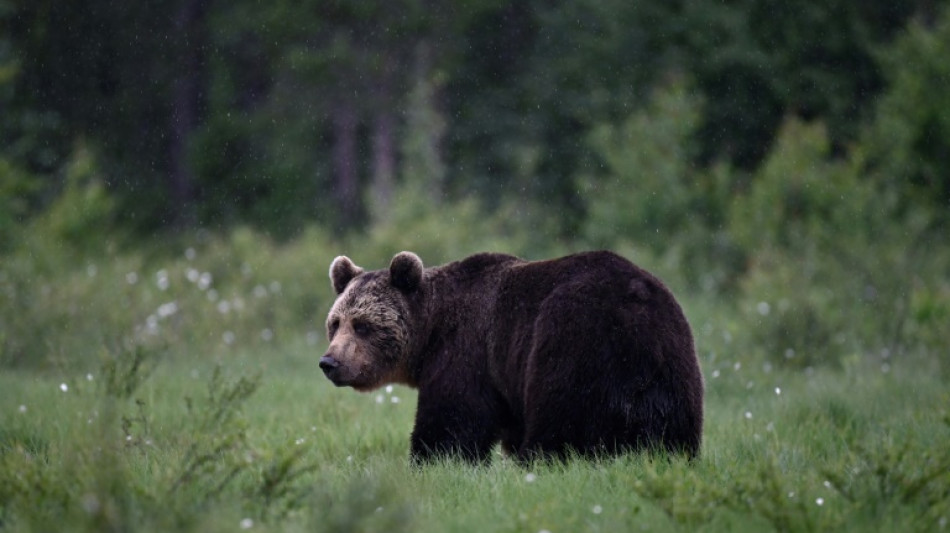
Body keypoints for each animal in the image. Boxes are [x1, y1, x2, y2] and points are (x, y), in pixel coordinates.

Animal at [324, 249, 704, 462]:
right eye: (335, 322)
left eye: (363, 325)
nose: (330, 362)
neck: (431, 331)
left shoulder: (468, 352)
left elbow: (451, 420)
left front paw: (431, 460)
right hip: (671, 360)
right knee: (674, 429)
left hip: (573, 339)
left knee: (561, 415)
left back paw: (537, 459)